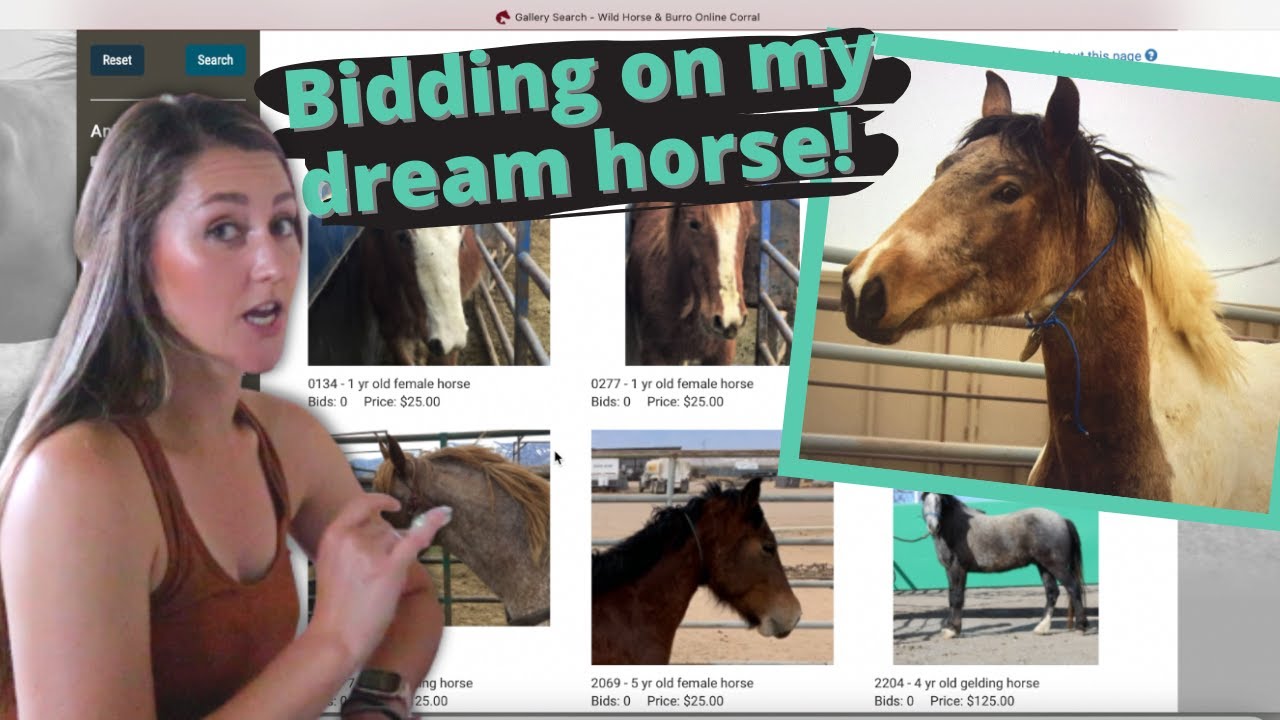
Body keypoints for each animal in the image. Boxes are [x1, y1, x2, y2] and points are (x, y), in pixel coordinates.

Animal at [920, 493, 1087, 639]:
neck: (956, 527)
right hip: (1044, 567)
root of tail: (1062, 520)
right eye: (925, 499)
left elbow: (956, 598)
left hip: (1056, 566)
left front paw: (952, 630)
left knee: (1073, 588)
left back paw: (1081, 626)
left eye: (940, 500)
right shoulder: (950, 570)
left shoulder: (957, 569)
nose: (933, 526)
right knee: (1052, 592)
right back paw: (1042, 628)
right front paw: (951, 628)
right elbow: (952, 597)